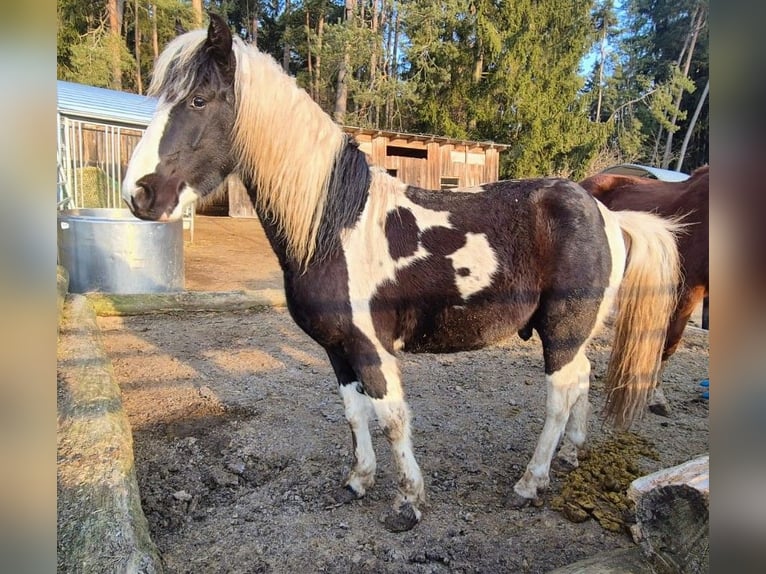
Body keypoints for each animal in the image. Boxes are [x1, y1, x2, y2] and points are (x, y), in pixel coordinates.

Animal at [121, 14, 684, 536]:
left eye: (198, 100)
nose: (138, 194)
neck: (335, 225)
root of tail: (606, 214)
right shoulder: (336, 348)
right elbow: (354, 413)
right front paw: (358, 481)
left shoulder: (372, 347)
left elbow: (392, 418)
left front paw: (408, 503)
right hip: (574, 332)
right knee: (583, 380)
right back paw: (569, 456)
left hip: (561, 332)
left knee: (560, 395)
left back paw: (530, 482)